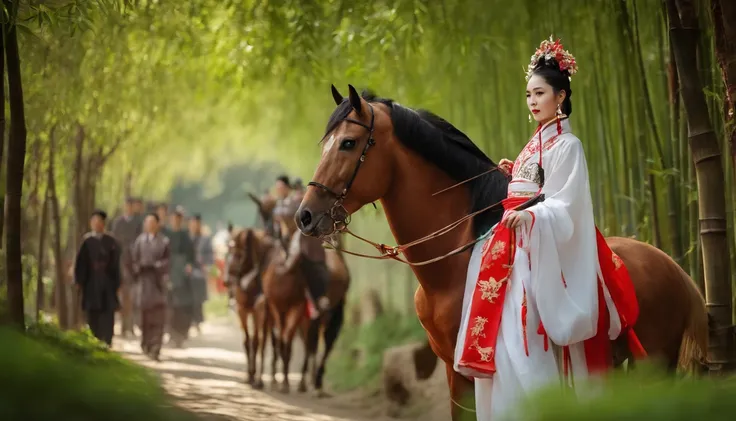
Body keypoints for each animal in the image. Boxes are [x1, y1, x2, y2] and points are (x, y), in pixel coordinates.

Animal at [296, 84, 712, 416]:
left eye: (348, 143)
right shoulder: (452, 370)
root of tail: (679, 272)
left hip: (655, 365)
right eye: (326, 143)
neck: (451, 264)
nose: (305, 215)